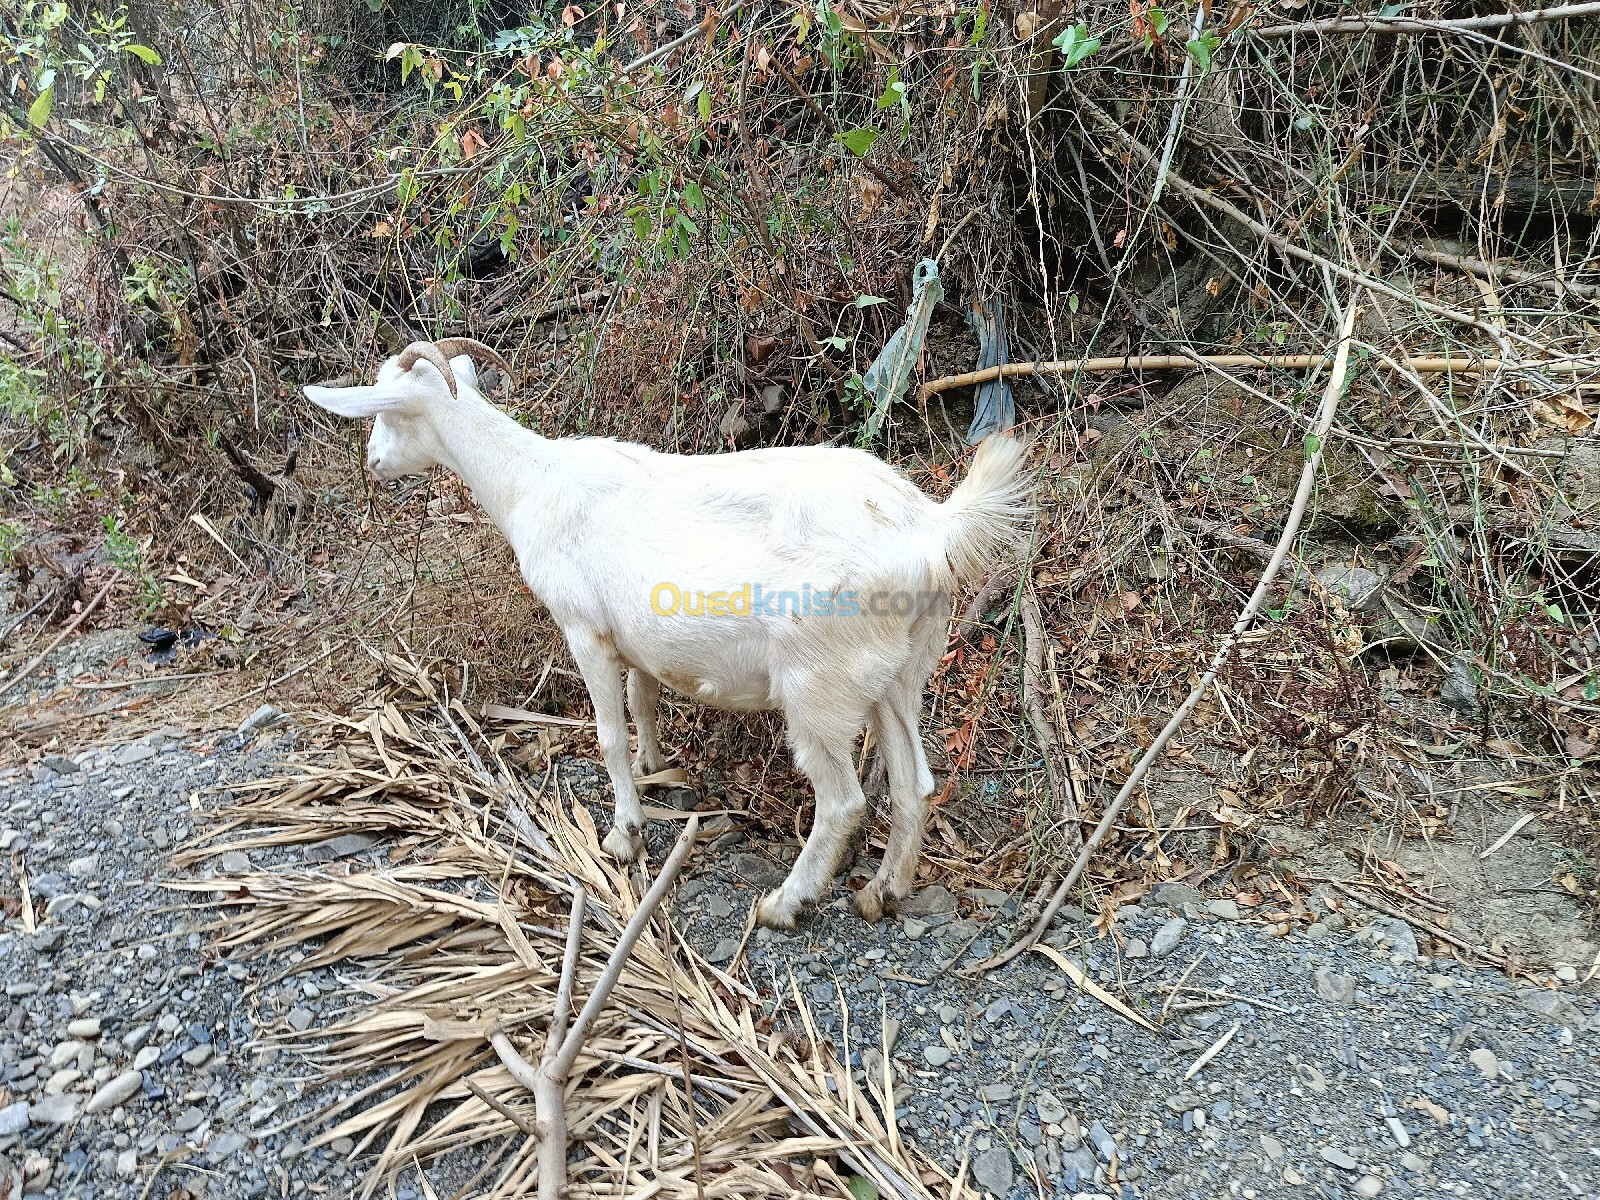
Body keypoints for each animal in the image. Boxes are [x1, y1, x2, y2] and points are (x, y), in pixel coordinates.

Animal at [305, 339, 1030, 928]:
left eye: (387, 412)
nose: (373, 459)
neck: (531, 483)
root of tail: (928, 529)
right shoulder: (634, 640)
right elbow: (643, 700)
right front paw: (658, 766)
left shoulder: (584, 630)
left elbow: (608, 734)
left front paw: (624, 834)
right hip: (899, 670)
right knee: (913, 783)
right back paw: (884, 892)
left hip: (818, 684)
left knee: (843, 801)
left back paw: (786, 903)